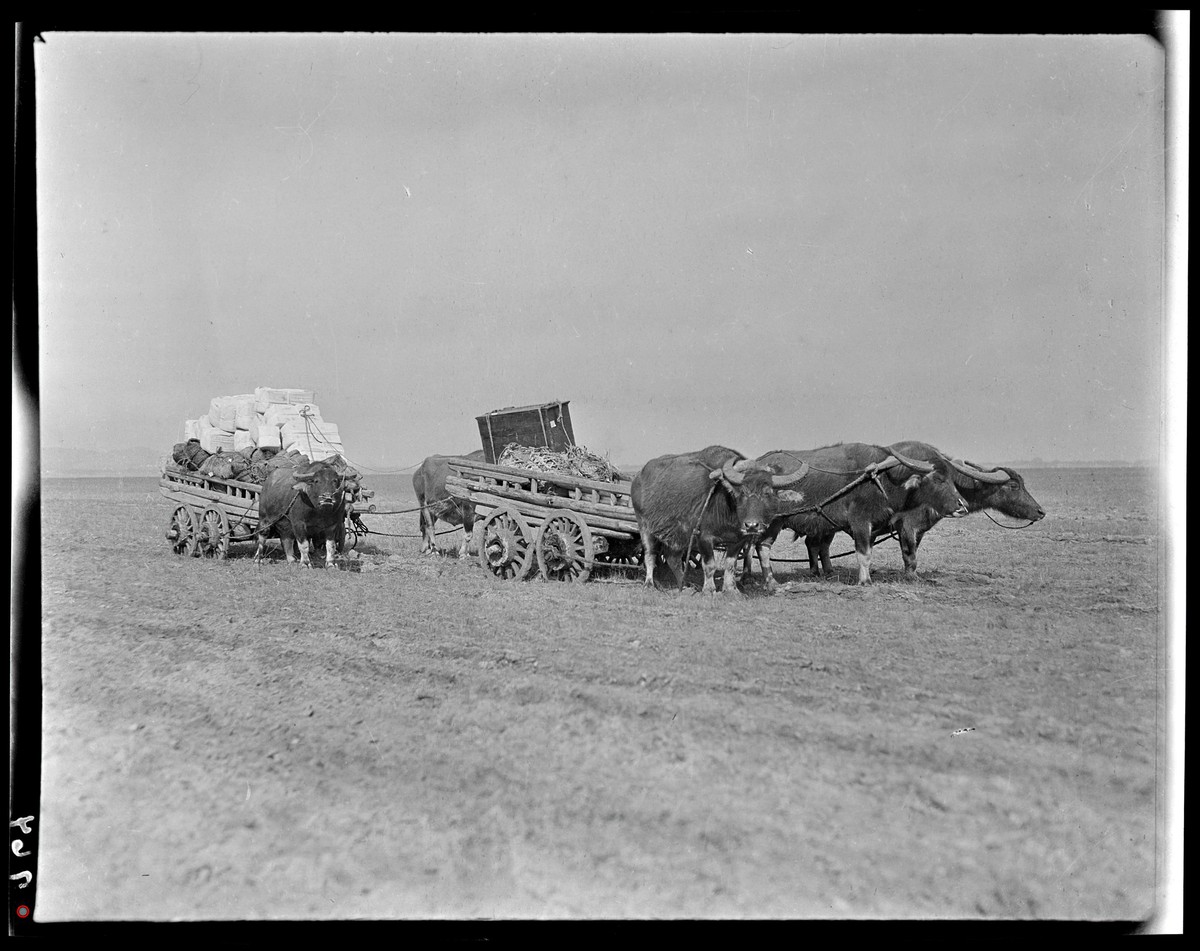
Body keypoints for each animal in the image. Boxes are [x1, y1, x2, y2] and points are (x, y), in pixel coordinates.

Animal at [633, 444, 811, 595]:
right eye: (742, 493)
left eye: (768, 494)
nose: (752, 525)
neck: (727, 506)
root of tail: (638, 477)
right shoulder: (703, 537)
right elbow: (709, 565)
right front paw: (709, 590)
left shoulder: (738, 540)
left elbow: (730, 565)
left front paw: (731, 590)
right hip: (645, 526)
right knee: (650, 554)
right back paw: (649, 584)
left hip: (677, 535)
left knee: (672, 558)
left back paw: (685, 585)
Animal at [753, 446, 969, 585]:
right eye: (939, 478)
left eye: (952, 478)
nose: (963, 505)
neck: (881, 481)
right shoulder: (861, 523)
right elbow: (863, 554)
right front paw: (865, 581)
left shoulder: (873, 528)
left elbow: (869, 554)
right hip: (772, 522)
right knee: (762, 546)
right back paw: (769, 581)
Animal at [888, 439, 1046, 578]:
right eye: (1013, 486)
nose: (1041, 512)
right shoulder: (907, 524)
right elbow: (909, 552)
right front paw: (911, 576)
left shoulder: (920, 528)